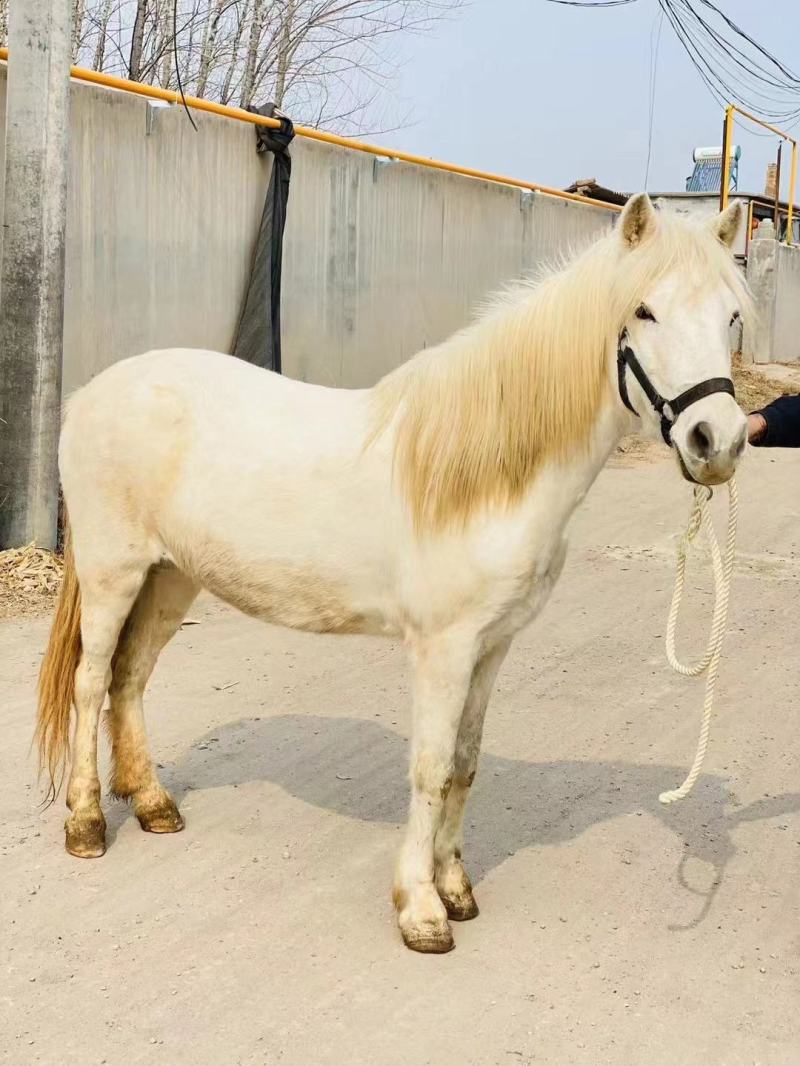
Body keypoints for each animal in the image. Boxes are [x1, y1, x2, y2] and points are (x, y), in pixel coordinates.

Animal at [37, 193, 751, 953]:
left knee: (131, 677)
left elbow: (465, 764)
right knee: (90, 683)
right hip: (113, 574)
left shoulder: (493, 647)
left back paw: (152, 804)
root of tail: (94, 391)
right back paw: (86, 824)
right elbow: (430, 770)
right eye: (644, 310)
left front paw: (456, 889)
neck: (487, 475)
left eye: (731, 317)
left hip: (171, 576)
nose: (718, 441)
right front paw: (421, 909)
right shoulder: (444, 649)